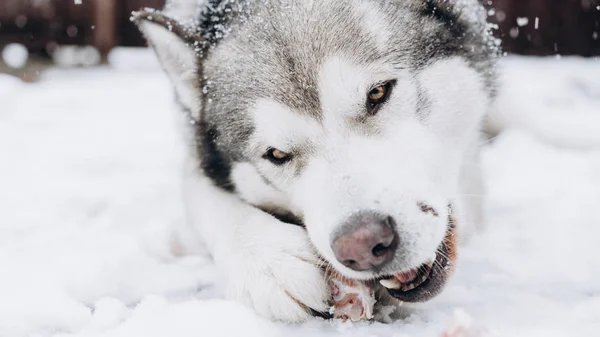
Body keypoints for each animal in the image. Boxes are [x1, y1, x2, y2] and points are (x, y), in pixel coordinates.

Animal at [134, 0, 500, 322]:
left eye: (378, 92)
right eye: (277, 155)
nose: (362, 246)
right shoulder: (196, 158)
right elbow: (205, 198)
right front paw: (268, 261)